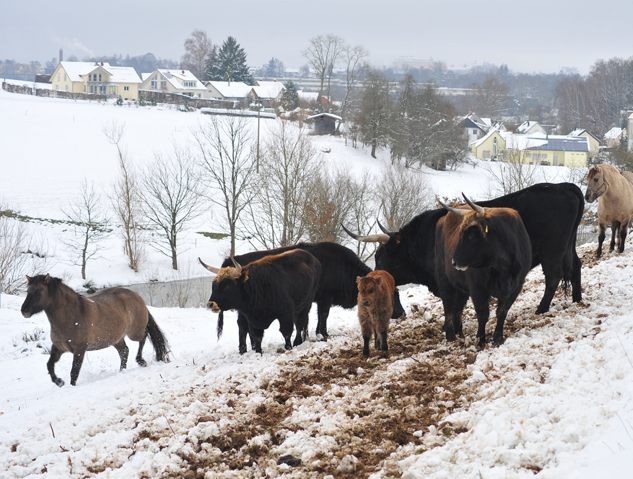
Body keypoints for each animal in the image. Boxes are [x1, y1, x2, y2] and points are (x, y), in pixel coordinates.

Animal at [20, 274, 169, 386]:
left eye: (39, 290)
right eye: (28, 291)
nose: (24, 310)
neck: (72, 315)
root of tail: (137, 297)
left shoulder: (79, 350)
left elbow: (74, 372)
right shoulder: (58, 347)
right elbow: (50, 365)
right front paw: (59, 382)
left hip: (134, 332)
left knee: (143, 338)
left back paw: (141, 361)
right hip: (116, 339)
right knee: (124, 351)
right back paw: (121, 371)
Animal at [346, 182, 584, 314]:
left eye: (383, 259)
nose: (369, 282)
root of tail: (563, 186)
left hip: (552, 251)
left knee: (553, 276)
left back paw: (541, 309)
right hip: (567, 246)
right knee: (576, 266)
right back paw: (577, 299)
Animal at [434, 197, 532, 346]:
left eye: (472, 234)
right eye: (460, 233)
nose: (454, 262)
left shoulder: (516, 286)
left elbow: (502, 312)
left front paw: (498, 338)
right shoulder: (478, 288)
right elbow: (483, 314)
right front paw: (480, 339)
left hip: (461, 288)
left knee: (458, 307)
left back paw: (460, 333)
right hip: (444, 280)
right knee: (448, 305)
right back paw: (451, 335)